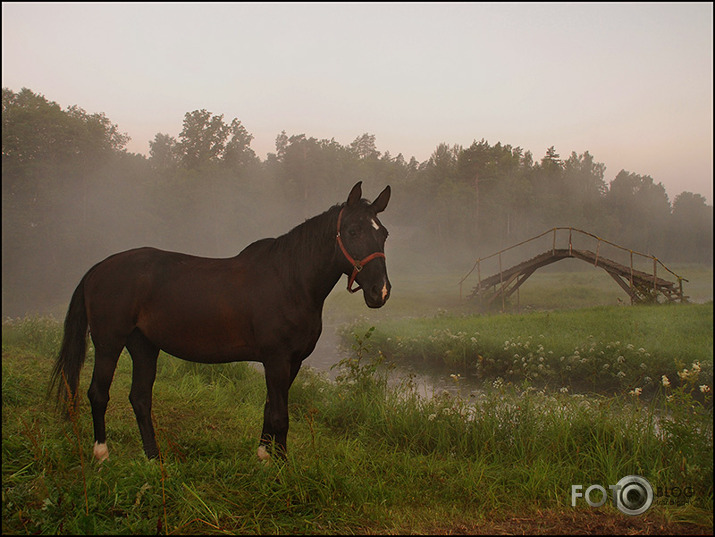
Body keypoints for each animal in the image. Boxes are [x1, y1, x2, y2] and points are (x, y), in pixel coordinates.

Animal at [50, 182, 394, 462]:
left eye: (383, 233)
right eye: (352, 231)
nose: (380, 291)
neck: (290, 280)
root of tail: (98, 268)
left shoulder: (292, 362)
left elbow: (269, 409)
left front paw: (263, 457)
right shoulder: (277, 359)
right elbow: (280, 416)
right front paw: (283, 470)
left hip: (144, 346)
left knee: (140, 398)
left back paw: (154, 458)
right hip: (109, 343)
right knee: (98, 393)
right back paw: (102, 454)